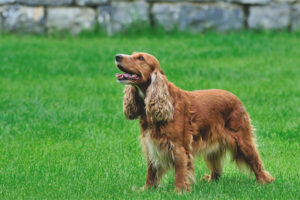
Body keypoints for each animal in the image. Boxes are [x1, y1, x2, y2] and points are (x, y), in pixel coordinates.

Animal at [114, 52, 274, 192]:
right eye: (132, 54)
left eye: (140, 58)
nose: (117, 56)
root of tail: (236, 98)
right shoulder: (151, 144)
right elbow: (151, 170)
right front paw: (147, 190)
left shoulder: (178, 146)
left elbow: (180, 171)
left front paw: (179, 191)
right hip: (213, 145)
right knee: (216, 170)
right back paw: (210, 180)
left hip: (242, 140)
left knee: (256, 162)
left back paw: (264, 181)